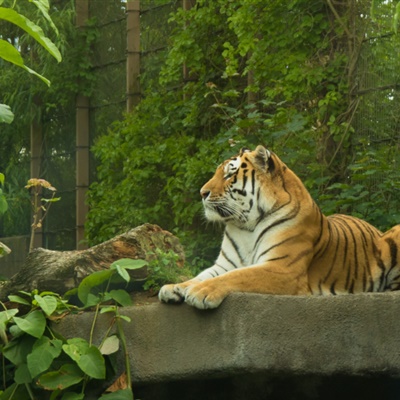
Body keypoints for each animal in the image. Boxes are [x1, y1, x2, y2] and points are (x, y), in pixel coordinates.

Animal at [158, 145, 400, 309]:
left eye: (229, 174)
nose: (202, 193)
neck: (245, 225)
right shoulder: (225, 265)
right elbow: (203, 275)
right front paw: (175, 287)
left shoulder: (283, 268)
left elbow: (237, 276)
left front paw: (200, 291)